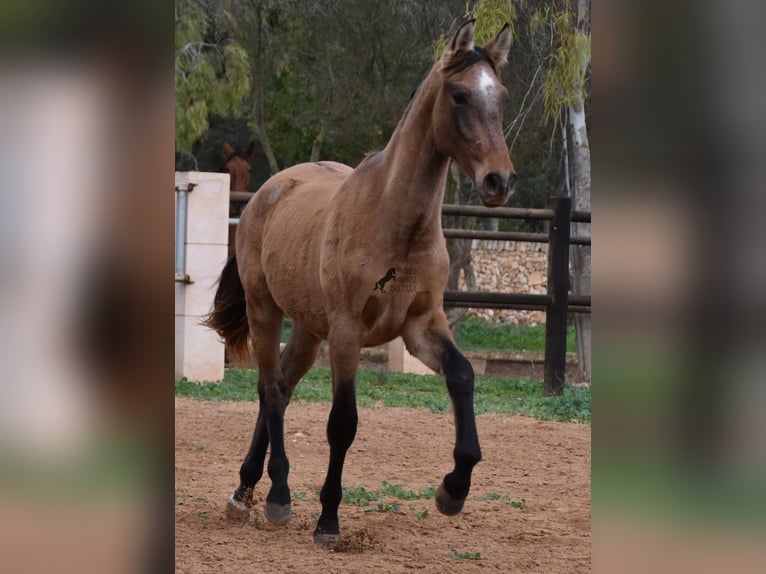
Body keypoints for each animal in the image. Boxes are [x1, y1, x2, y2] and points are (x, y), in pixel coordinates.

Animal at [204, 20, 516, 548]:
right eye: (458, 95)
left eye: (502, 96)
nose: (499, 181)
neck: (394, 223)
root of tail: (267, 192)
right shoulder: (348, 333)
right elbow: (342, 423)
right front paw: (328, 519)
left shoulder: (422, 324)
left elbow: (463, 375)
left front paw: (453, 489)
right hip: (265, 310)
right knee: (270, 390)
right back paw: (277, 496)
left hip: (309, 329)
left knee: (280, 385)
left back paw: (248, 490)